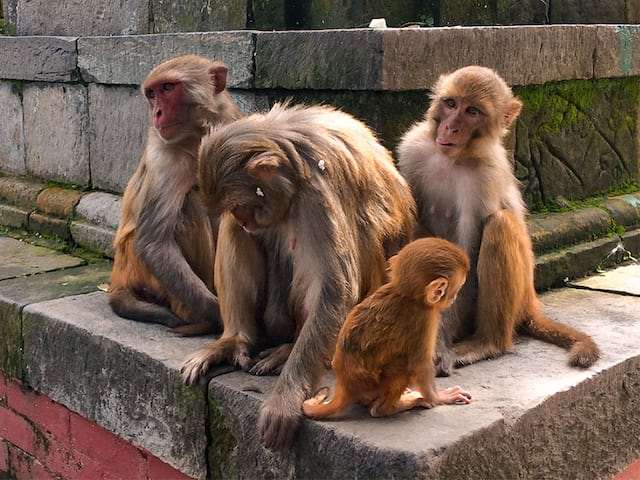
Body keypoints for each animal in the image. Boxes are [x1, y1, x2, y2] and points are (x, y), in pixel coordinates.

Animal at [108, 54, 242, 332]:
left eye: (168, 88)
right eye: (151, 94)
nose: (157, 113)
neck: (197, 137)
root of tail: (118, 277)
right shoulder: (164, 156)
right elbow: (154, 243)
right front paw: (220, 315)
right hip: (145, 273)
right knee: (191, 202)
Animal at [180, 103, 418, 448]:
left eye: (240, 204)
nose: (244, 218)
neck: (293, 158)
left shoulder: (316, 194)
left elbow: (334, 289)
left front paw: (286, 399)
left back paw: (289, 350)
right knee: (241, 235)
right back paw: (236, 340)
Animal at [302, 237, 472, 420]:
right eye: (456, 289)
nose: (454, 298)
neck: (406, 295)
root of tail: (345, 385)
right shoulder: (425, 319)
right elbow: (420, 365)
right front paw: (439, 397)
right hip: (372, 385)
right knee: (402, 364)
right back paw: (390, 407)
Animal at [396, 66, 600, 376]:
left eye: (472, 111)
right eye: (451, 103)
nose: (450, 128)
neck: (453, 158)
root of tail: (531, 301)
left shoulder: (485, 175)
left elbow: (467, 255)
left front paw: (438, 345)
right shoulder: (412, 149)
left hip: (517, 297)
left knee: (500, 224)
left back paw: (488, 343)